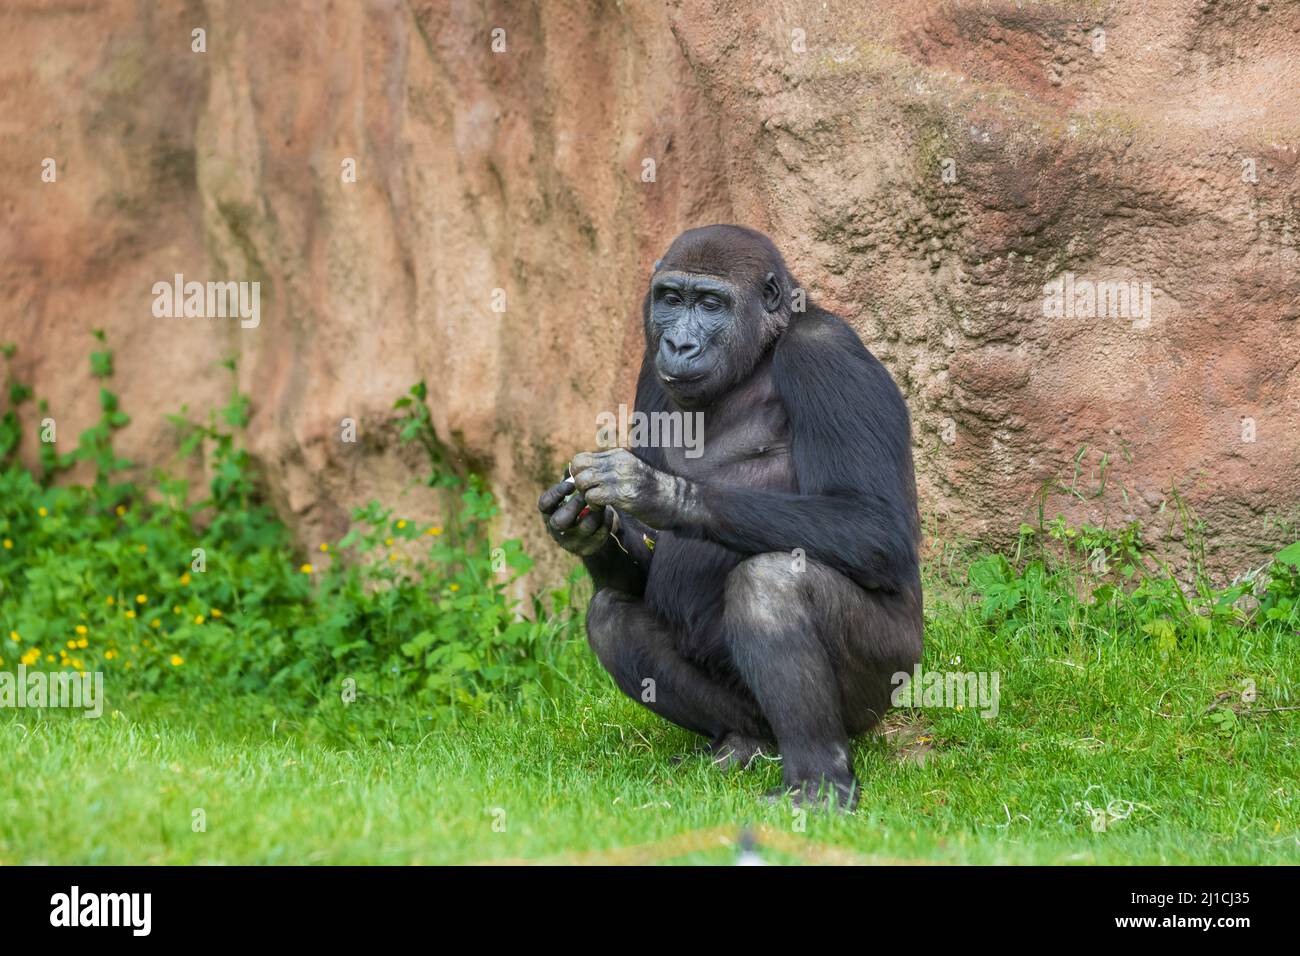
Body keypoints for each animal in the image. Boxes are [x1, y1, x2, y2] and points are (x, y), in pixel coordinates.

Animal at [540, 223, 925, 806]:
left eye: (710, 303)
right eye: (671, 299)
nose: (679, 344)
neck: (758, 355)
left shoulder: (825, 352)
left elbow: (872, 521)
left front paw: (656, 491)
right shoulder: (649, 370)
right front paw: (587, 530)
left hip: (888, 684)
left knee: (772, 584)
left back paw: (819, 778)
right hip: (750, 715)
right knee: (611, 618)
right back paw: (744, 742)